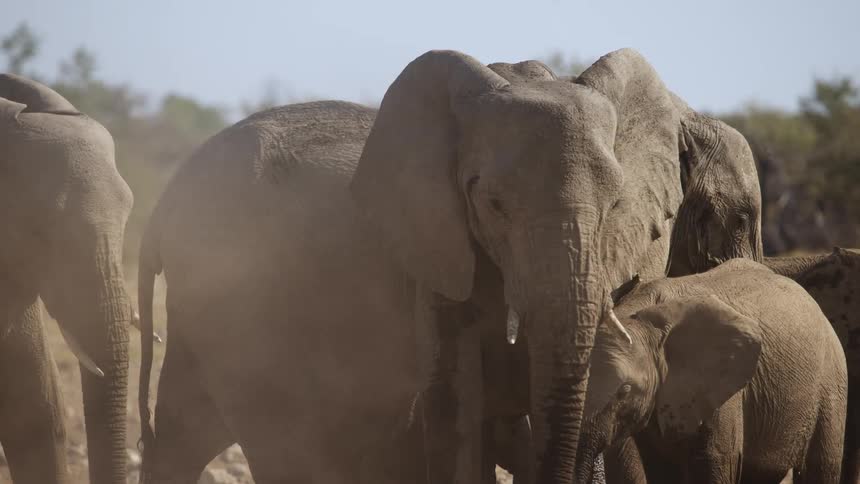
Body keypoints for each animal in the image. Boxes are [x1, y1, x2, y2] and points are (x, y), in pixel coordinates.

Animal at [137, 48, 762, 484]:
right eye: (492, 204)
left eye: (615, 204)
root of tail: (163, 202)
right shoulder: (435, 246)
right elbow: (458, 405)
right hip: (235, 303)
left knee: (184, 435)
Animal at [581, 258, 847, 484]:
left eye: (624, 391)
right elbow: (661, 469)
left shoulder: (722, 391)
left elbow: (715, 462)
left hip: (832, 381)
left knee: (822, 467)